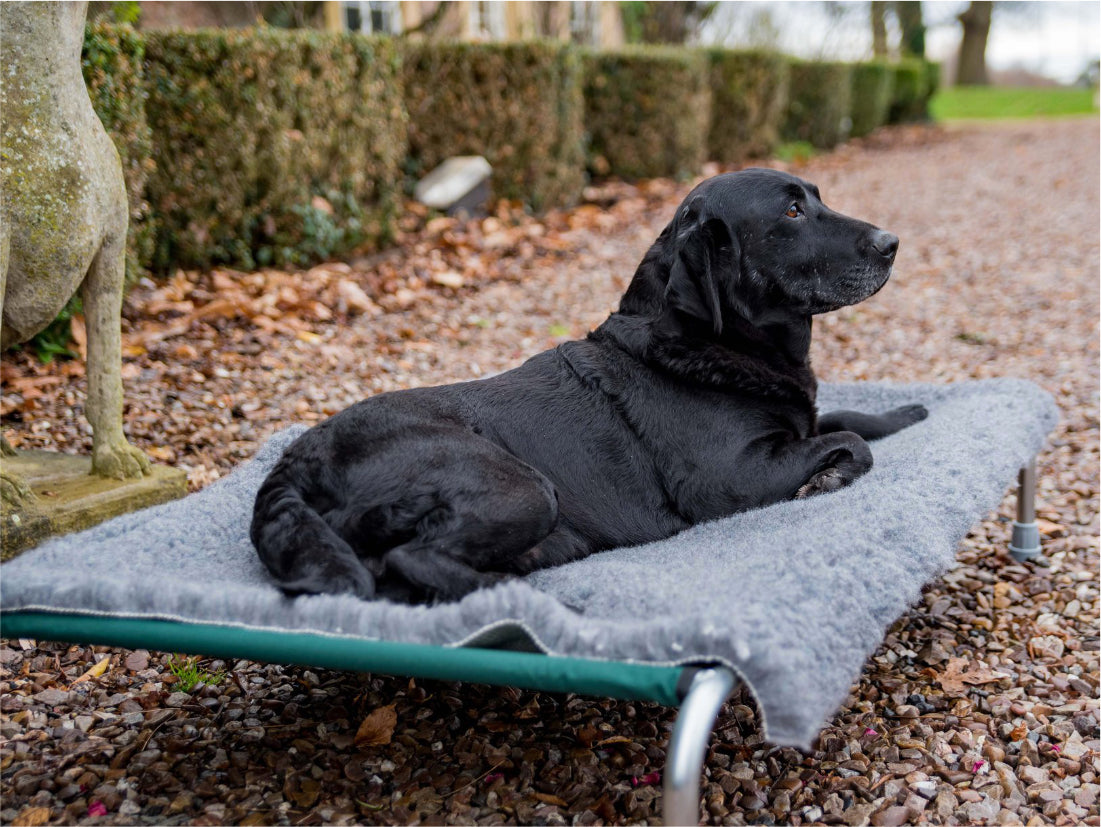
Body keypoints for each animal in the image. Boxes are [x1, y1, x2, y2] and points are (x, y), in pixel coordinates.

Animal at [253, 171, 924, 603]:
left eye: (816, 198)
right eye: (791, 212)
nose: (892, 243)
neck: (706, 343)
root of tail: (297, 459)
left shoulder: (796, 418)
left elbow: (844, 416)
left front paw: (907, 412)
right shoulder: (731, 479)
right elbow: (844, 441)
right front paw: (830, 476)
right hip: (518, 486)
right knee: (410, 557)